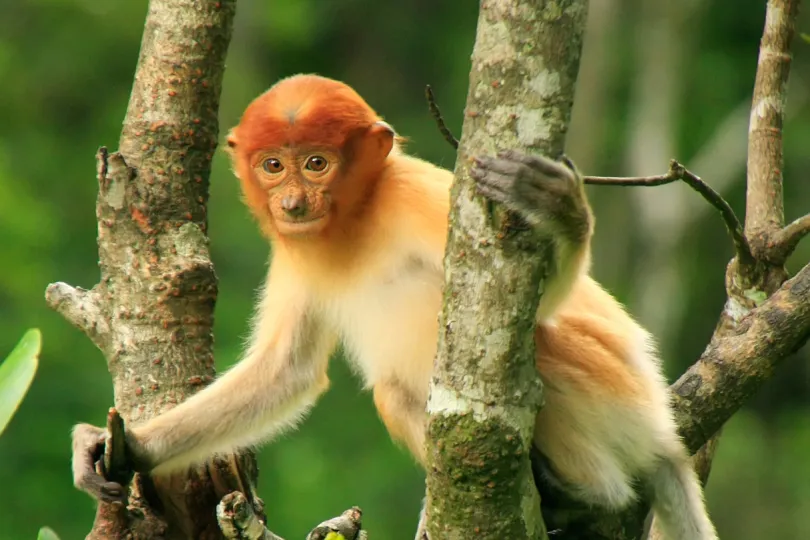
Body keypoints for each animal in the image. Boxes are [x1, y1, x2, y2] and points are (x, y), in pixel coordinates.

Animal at [69, 73, 712, 540]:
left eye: (317, 163)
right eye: (273, 165)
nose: (292, 204)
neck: (358, 215)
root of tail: (662, 426)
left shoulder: (424, 197)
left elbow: (553, 306)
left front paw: (561, 210)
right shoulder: (296, 254)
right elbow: (285, 371)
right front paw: (117, 448)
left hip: (614, 396)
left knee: (539, 346)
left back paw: (586, 496)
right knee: (396, 392)